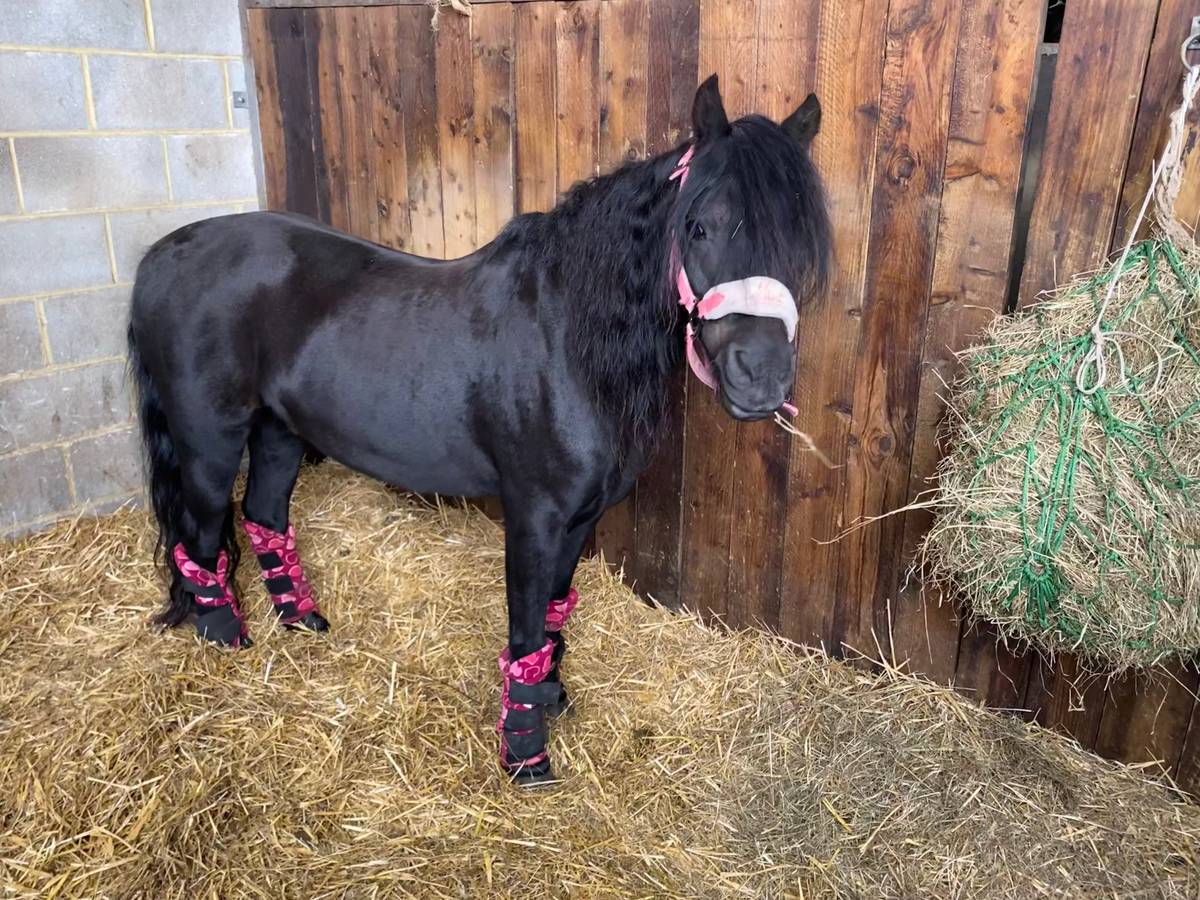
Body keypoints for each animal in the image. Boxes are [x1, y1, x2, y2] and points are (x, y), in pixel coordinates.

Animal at [127, 75, 831, 784]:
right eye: (698, 226)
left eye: (800, 242)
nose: (760, 379)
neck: (564, 339)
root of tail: (164, 254)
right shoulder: (534, 516)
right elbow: (525, 624)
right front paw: (525, 753)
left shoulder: (580, 520)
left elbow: (552, 615)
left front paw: (549, 696)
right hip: (210, 443)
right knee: (201, 538)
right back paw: (226, 641)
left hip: (279, 432)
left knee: (264, 516)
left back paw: (302, 623)